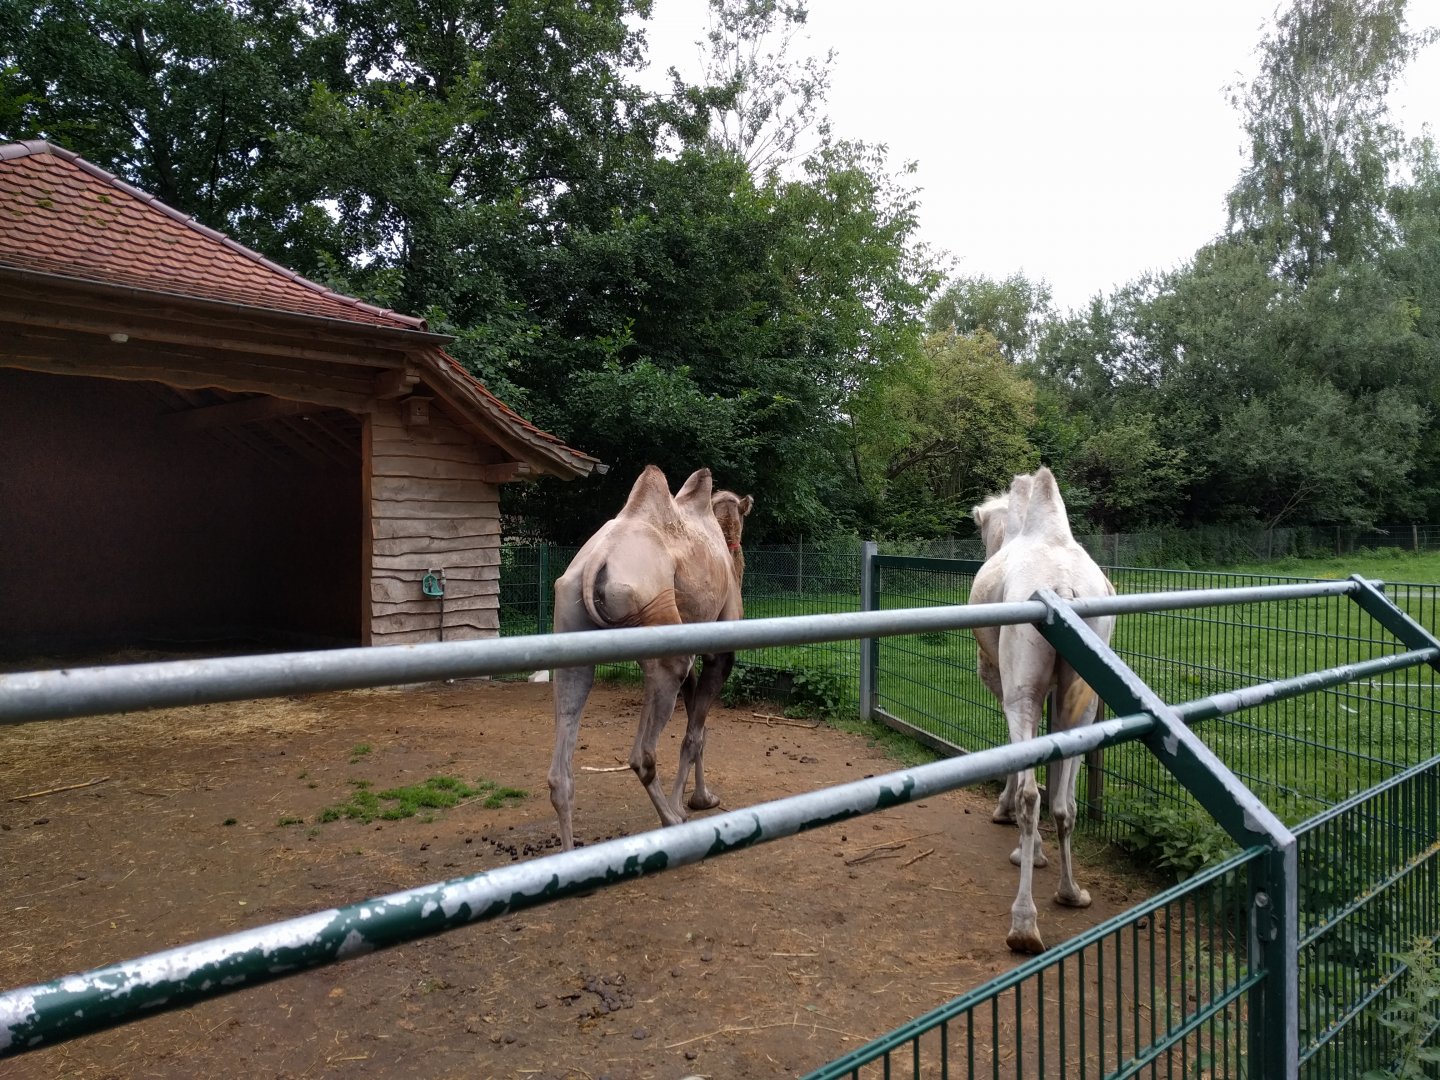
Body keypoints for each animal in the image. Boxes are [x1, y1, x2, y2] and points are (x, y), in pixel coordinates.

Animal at [547, 465, 753, 850]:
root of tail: (595, 563)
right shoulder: (719, 648)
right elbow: (694, 734)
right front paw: (693, 802)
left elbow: (697, 727)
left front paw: (700, 798)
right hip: (658, 628)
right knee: (642, 755)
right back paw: (671, 819)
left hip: (570, 622)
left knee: (559, 771)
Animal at [970, 467, 1115, 954]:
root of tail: (1065, 589)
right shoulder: (1057, 693)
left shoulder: (1000, 679)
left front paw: (1007, 817)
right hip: (1085, 699)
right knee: (1065, 802)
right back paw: (1071, 892)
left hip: (1021, 688)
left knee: (1035, 796)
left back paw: (1024, 925)